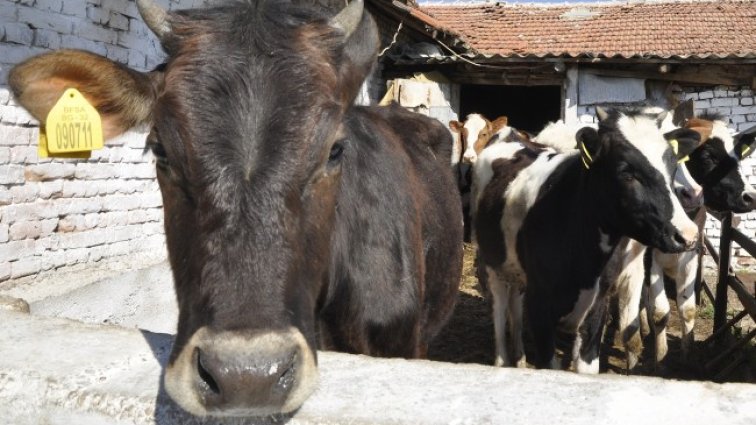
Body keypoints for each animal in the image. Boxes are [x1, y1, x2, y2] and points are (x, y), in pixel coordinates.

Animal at [472, 107, 704, 370]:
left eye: (673, 167)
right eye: (625, 172)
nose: (687, 234)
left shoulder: (599, 303)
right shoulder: (540, 305)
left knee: (515, 307)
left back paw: (519, 358)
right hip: (493, 265)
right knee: (500, 312)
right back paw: (503, 359)